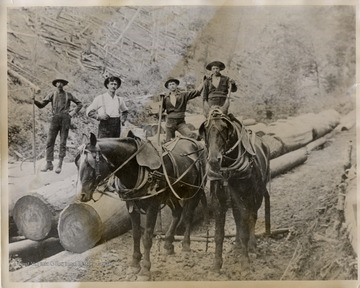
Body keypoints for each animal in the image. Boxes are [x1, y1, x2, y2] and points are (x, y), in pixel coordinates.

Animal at [74, 132, 207, 280]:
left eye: (89, 163)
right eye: (77, 163)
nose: (81, 195)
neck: (136, 169)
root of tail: (195, 142)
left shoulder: (152, 206)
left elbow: (147, 237)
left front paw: (145, 269)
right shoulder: (131, 205)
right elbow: (136, 234)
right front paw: (135, 263)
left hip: (194, 190)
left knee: (188, 215)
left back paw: (185, 245)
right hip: (171, 194)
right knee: (177, 212)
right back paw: (168, 243)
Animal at [200, 108, 270, 272]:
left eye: (224, 129)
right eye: (206, 130)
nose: (213, 161)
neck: (227, 171)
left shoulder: (245, 200)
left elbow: (245, 227)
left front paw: (245, 262)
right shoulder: (219, 203)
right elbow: (219, 234)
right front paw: (216, 264)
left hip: (257, 197)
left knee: (252, 218)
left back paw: (252, 246)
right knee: (239, 221)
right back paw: (238, 246)